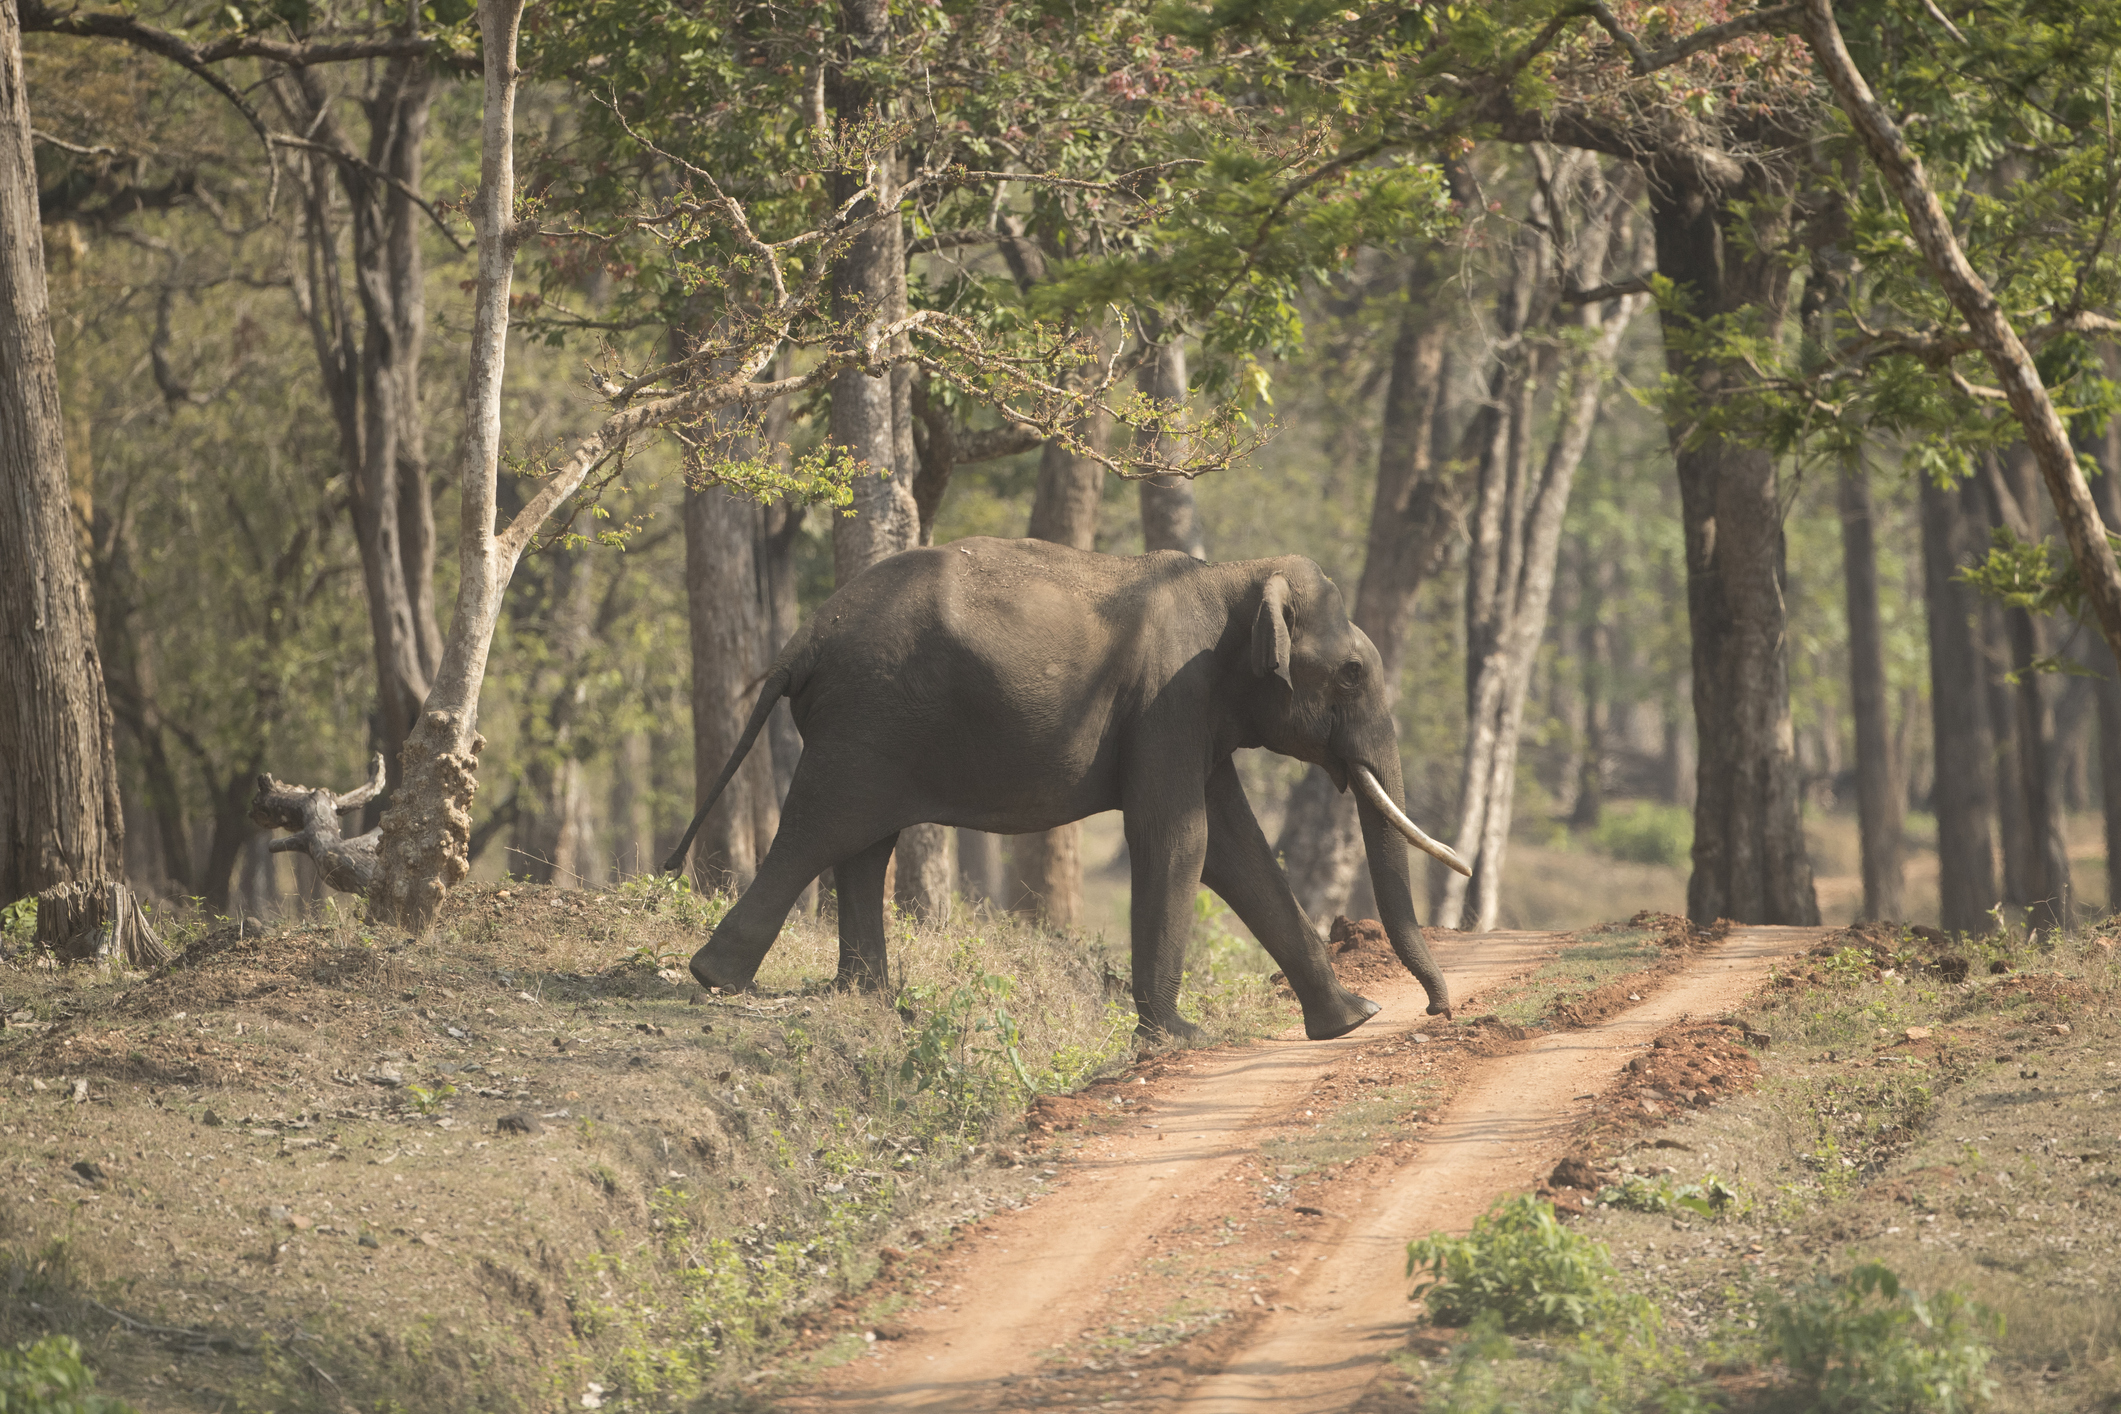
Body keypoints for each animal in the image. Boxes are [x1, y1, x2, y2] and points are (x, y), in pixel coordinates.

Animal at [664, 538, 1466, 1042]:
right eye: (1353, 673)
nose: (1437, 1011)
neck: (1234, 575)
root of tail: (802, 642)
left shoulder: (1194, 713)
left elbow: (1235, 848)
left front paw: (1353, 1019)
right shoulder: (1170, 699)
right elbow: (1182, 837)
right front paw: (1180, 1037)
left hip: (878, 726)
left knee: (863, 844)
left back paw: (868, 999)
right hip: (868, 719)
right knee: (822, 826)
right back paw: (717, 979)